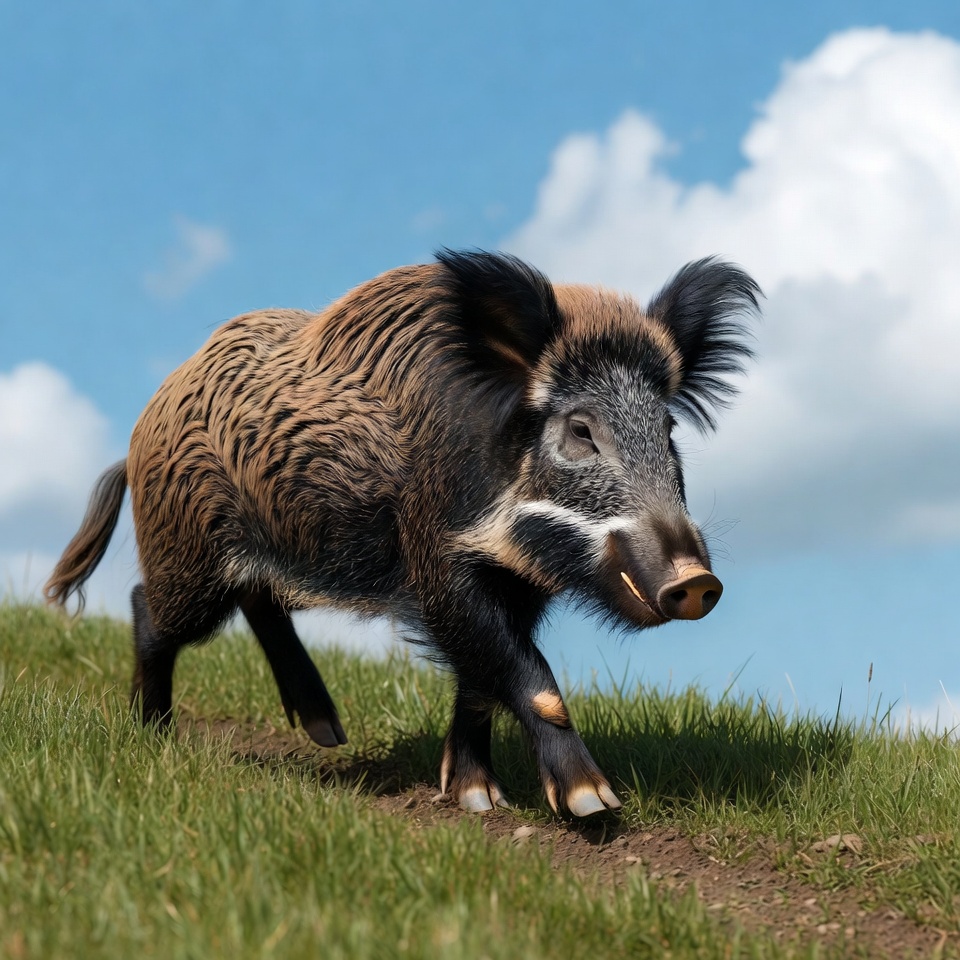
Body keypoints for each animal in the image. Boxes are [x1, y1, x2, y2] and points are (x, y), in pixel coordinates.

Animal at [45, 249, 760, 816]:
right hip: (186, 553)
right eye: (581, 431)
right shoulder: (436, 559)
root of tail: (141, 427)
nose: (698, 580)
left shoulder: (517, 582)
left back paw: (327, 733)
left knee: (261, 603)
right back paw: (154, 737)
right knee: (149, 608)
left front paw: (475, 800)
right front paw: (594, 805)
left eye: (667, 430)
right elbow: (526, 674)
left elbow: (483, 680)